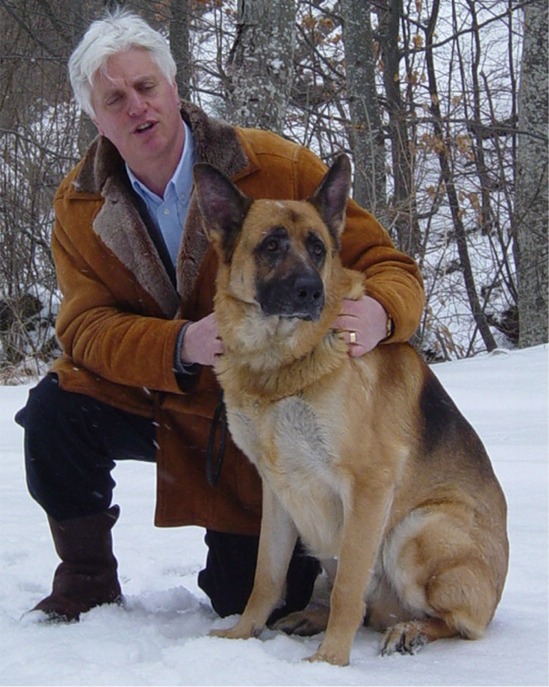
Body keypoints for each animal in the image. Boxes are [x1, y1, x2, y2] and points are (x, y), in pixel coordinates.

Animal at [194, 155, 510, 668]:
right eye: (271, 245)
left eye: (318, 249)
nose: (310, 292)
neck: (279, 364)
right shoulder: (278, 490)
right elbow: (266, 576)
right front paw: (242, 634)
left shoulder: (369, 485)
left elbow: (348, 587)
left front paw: (330, 661)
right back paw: (312, 616)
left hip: (416, 530)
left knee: (457, 623)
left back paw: (408, 631)